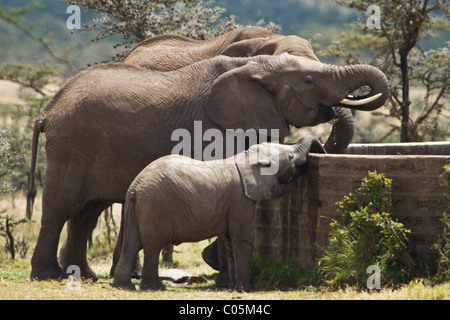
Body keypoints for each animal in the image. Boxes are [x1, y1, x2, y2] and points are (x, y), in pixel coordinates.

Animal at [111, 136, 326, 292]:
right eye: (290, 157)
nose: (322, 150)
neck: (245, 158)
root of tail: (135, 187)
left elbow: (230, 243)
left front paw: (232, 288)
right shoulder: (240, 200)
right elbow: (243, 239)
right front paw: (247, 290)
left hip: (135, 208)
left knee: (131, 244)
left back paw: (123, 287)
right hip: (155, 206)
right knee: (152, 245)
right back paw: (154, 288)